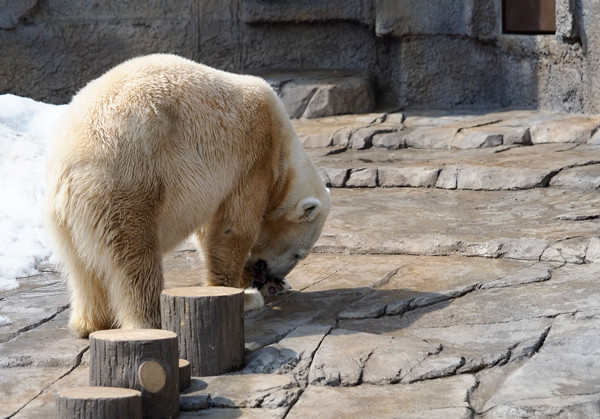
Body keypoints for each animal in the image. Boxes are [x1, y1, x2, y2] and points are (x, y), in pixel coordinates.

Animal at [44, 55, 330, 338]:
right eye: (299, 254)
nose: (273, 279)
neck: (282, 142)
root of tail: (70, 161)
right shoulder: (255, 156)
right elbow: (232, 229)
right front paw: (245, 294)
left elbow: (208, 232)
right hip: (127, 178)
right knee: (135, 256)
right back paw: (154, 319)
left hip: (64, 218)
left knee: (83, 268)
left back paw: (90, 322)